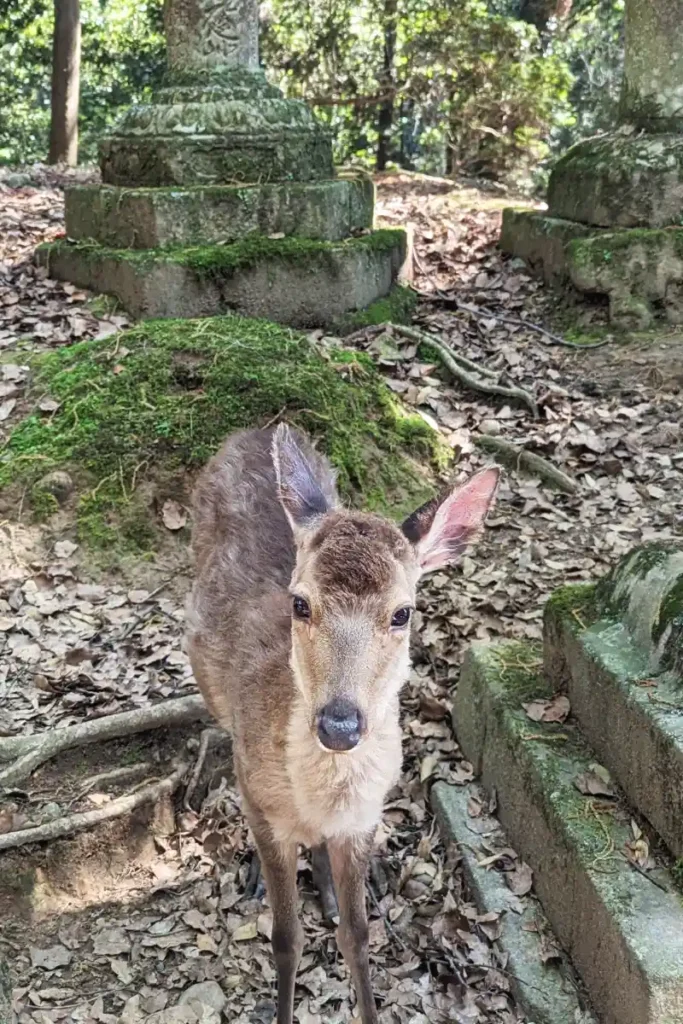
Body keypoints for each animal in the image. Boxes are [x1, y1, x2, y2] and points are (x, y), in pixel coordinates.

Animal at [184, 423, 499, 1024]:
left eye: (402, 612)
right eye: (300, 604)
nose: (339, 726)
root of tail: (255, 428)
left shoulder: (363, 819)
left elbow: (358, 937)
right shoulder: (262, 803)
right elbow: (285, 940)